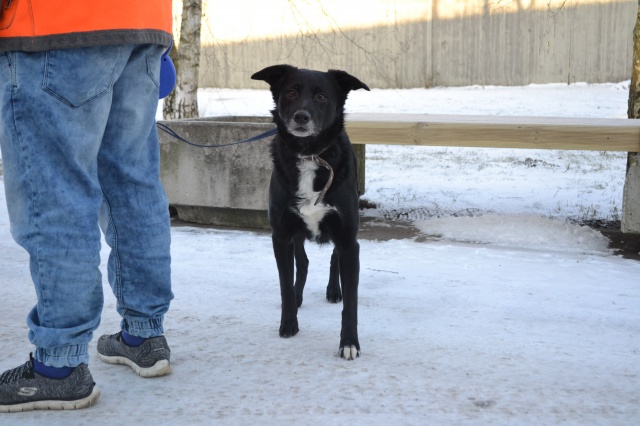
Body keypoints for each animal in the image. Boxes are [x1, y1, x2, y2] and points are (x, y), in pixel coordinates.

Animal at [251, 65, 369, 360]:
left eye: (322, 97)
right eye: (291, 92)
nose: (301, 117)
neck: (309, 155)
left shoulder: (349, 240)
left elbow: (351, 302)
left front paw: (349, 343)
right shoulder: (281, 236)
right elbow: (285, 284)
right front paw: (288, 323)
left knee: (333, 259)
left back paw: (333, 290)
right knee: (302, 263)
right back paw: (299, 296)